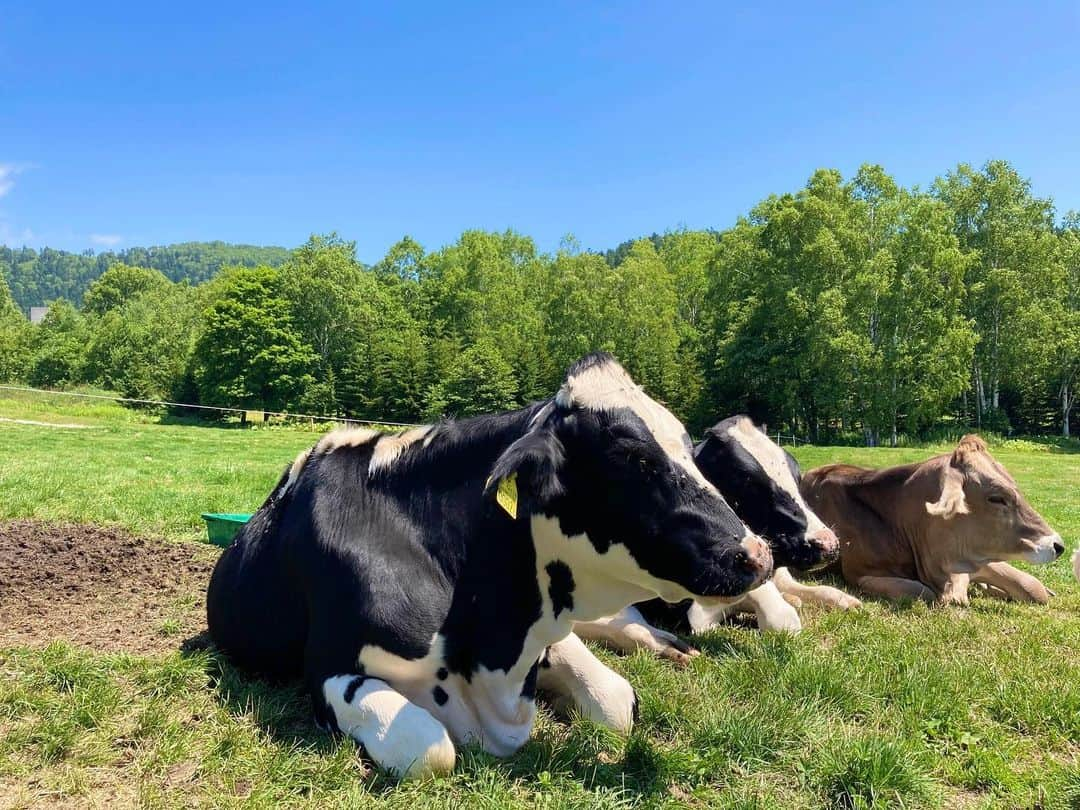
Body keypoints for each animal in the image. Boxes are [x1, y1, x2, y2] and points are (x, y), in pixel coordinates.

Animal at [206, 354, 773, 781]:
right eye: (635, 458)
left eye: (687, 447)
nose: (758, 554)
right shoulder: (328, 667)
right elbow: (431, 748)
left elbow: (617, 703)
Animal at [574, 419, 859, 660]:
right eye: (747, 481)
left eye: (796, 473)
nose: (827, 544)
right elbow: (780, 617)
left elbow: (816, 590)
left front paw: (847, 601)